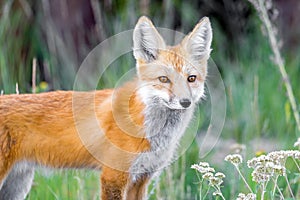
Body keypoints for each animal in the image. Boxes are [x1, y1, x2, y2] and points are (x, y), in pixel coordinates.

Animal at [0, 16, 212, 200]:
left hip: (17, 185)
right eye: (163, 79)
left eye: (191, 78)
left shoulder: (141, 179)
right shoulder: (113, 176)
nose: (185, 102)